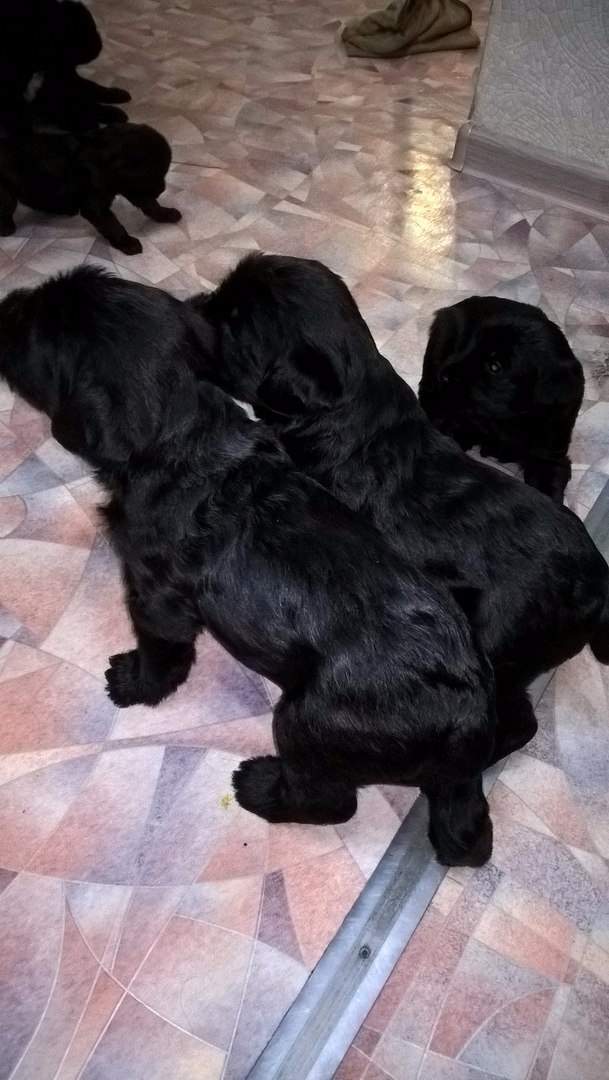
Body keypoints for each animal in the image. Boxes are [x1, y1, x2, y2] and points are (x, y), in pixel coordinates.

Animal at [0, 123, 181, 254]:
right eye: (152, 176)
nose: (162, 189)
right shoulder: (96, 206)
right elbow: (113, 224)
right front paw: (127, 243)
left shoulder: (133, 189)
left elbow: (151, 204)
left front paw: (166, 213)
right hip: (6, 195)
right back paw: (6, 228)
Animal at [0, 265, 501, 868]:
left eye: (36, 332)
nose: (5, 305)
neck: (186, 438)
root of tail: (467, 717)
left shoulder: (156, 594)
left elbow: (162, 651)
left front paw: (135, 683)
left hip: (306, 725)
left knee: (331, 801)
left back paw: (260, 786)